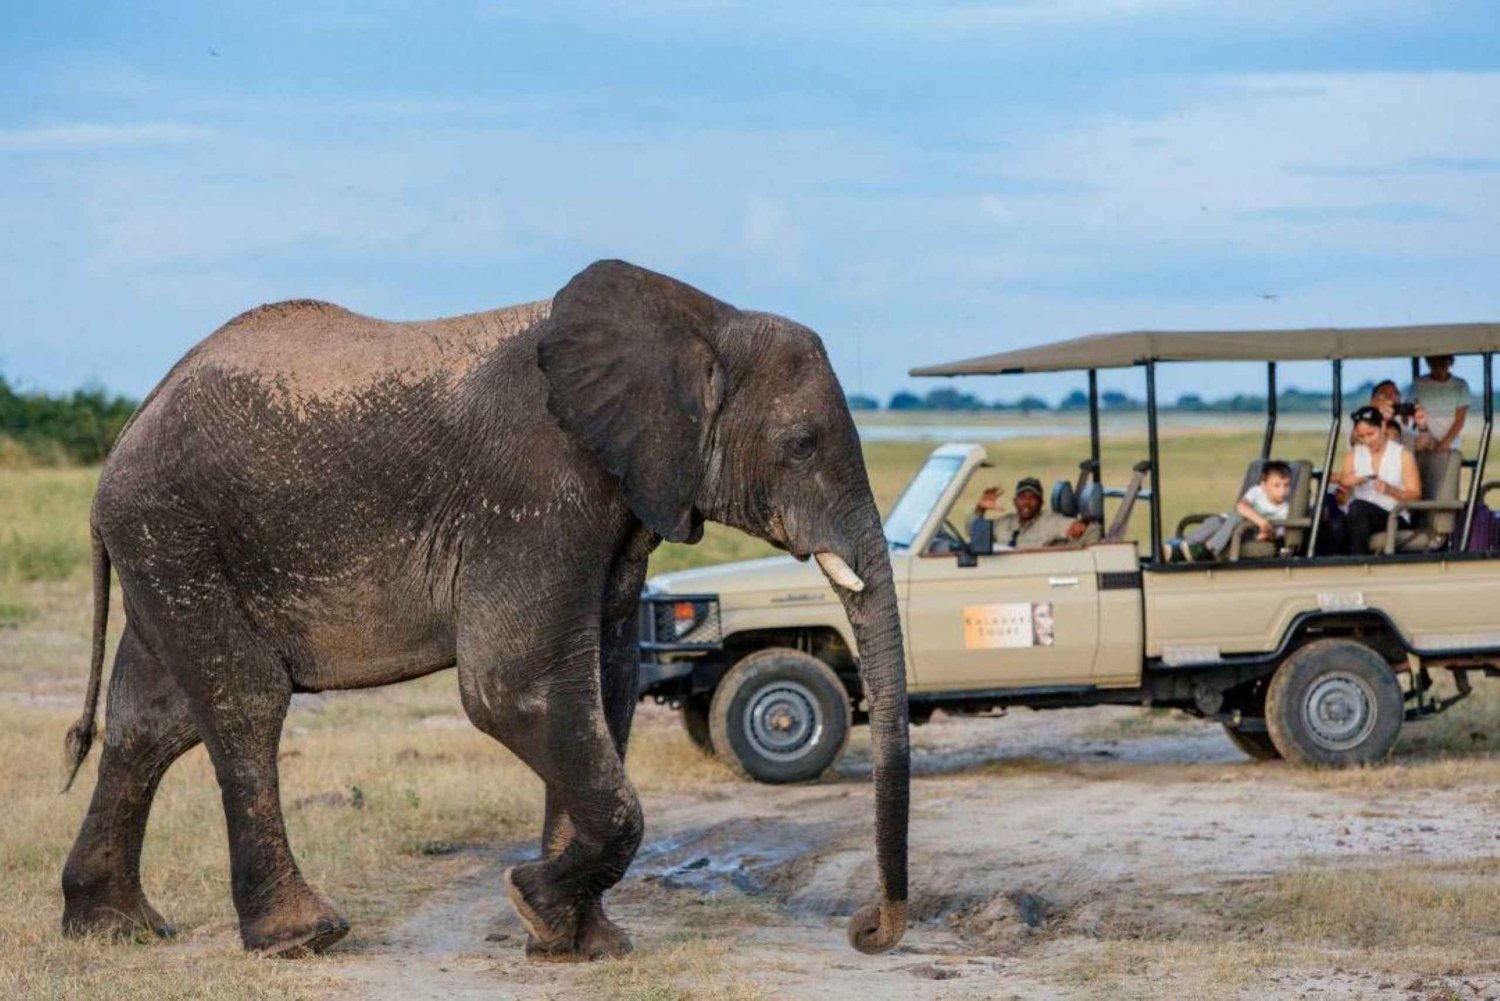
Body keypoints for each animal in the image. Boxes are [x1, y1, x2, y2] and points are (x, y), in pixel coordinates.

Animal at [61, 258, 912, 960]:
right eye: (801, 443)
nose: (866, 929)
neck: (704, 316)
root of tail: (123, 438)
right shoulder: (535, 488)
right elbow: (516, 688)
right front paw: (535, 900)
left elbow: (603, 687)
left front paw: (578, 942)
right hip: (177, 532)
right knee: (245, 702)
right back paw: (303, 936)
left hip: (167, 551)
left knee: (150, 720)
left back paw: (117, 928)